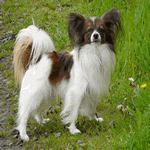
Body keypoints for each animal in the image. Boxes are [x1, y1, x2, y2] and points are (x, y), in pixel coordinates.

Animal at [13, 8, 121, 141]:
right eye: (89, 30)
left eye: (101, 29)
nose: (95, 35)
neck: (94, 52)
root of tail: (35, 59)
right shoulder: (76, 92)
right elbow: (73, 112)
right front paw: (73, 130)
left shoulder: (92, 89)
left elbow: (91, 107)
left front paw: (94, 119)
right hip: (35, 91)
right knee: (24, 113)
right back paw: (24, 135)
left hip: (45, 92)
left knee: (37, 109)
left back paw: (42, 122)